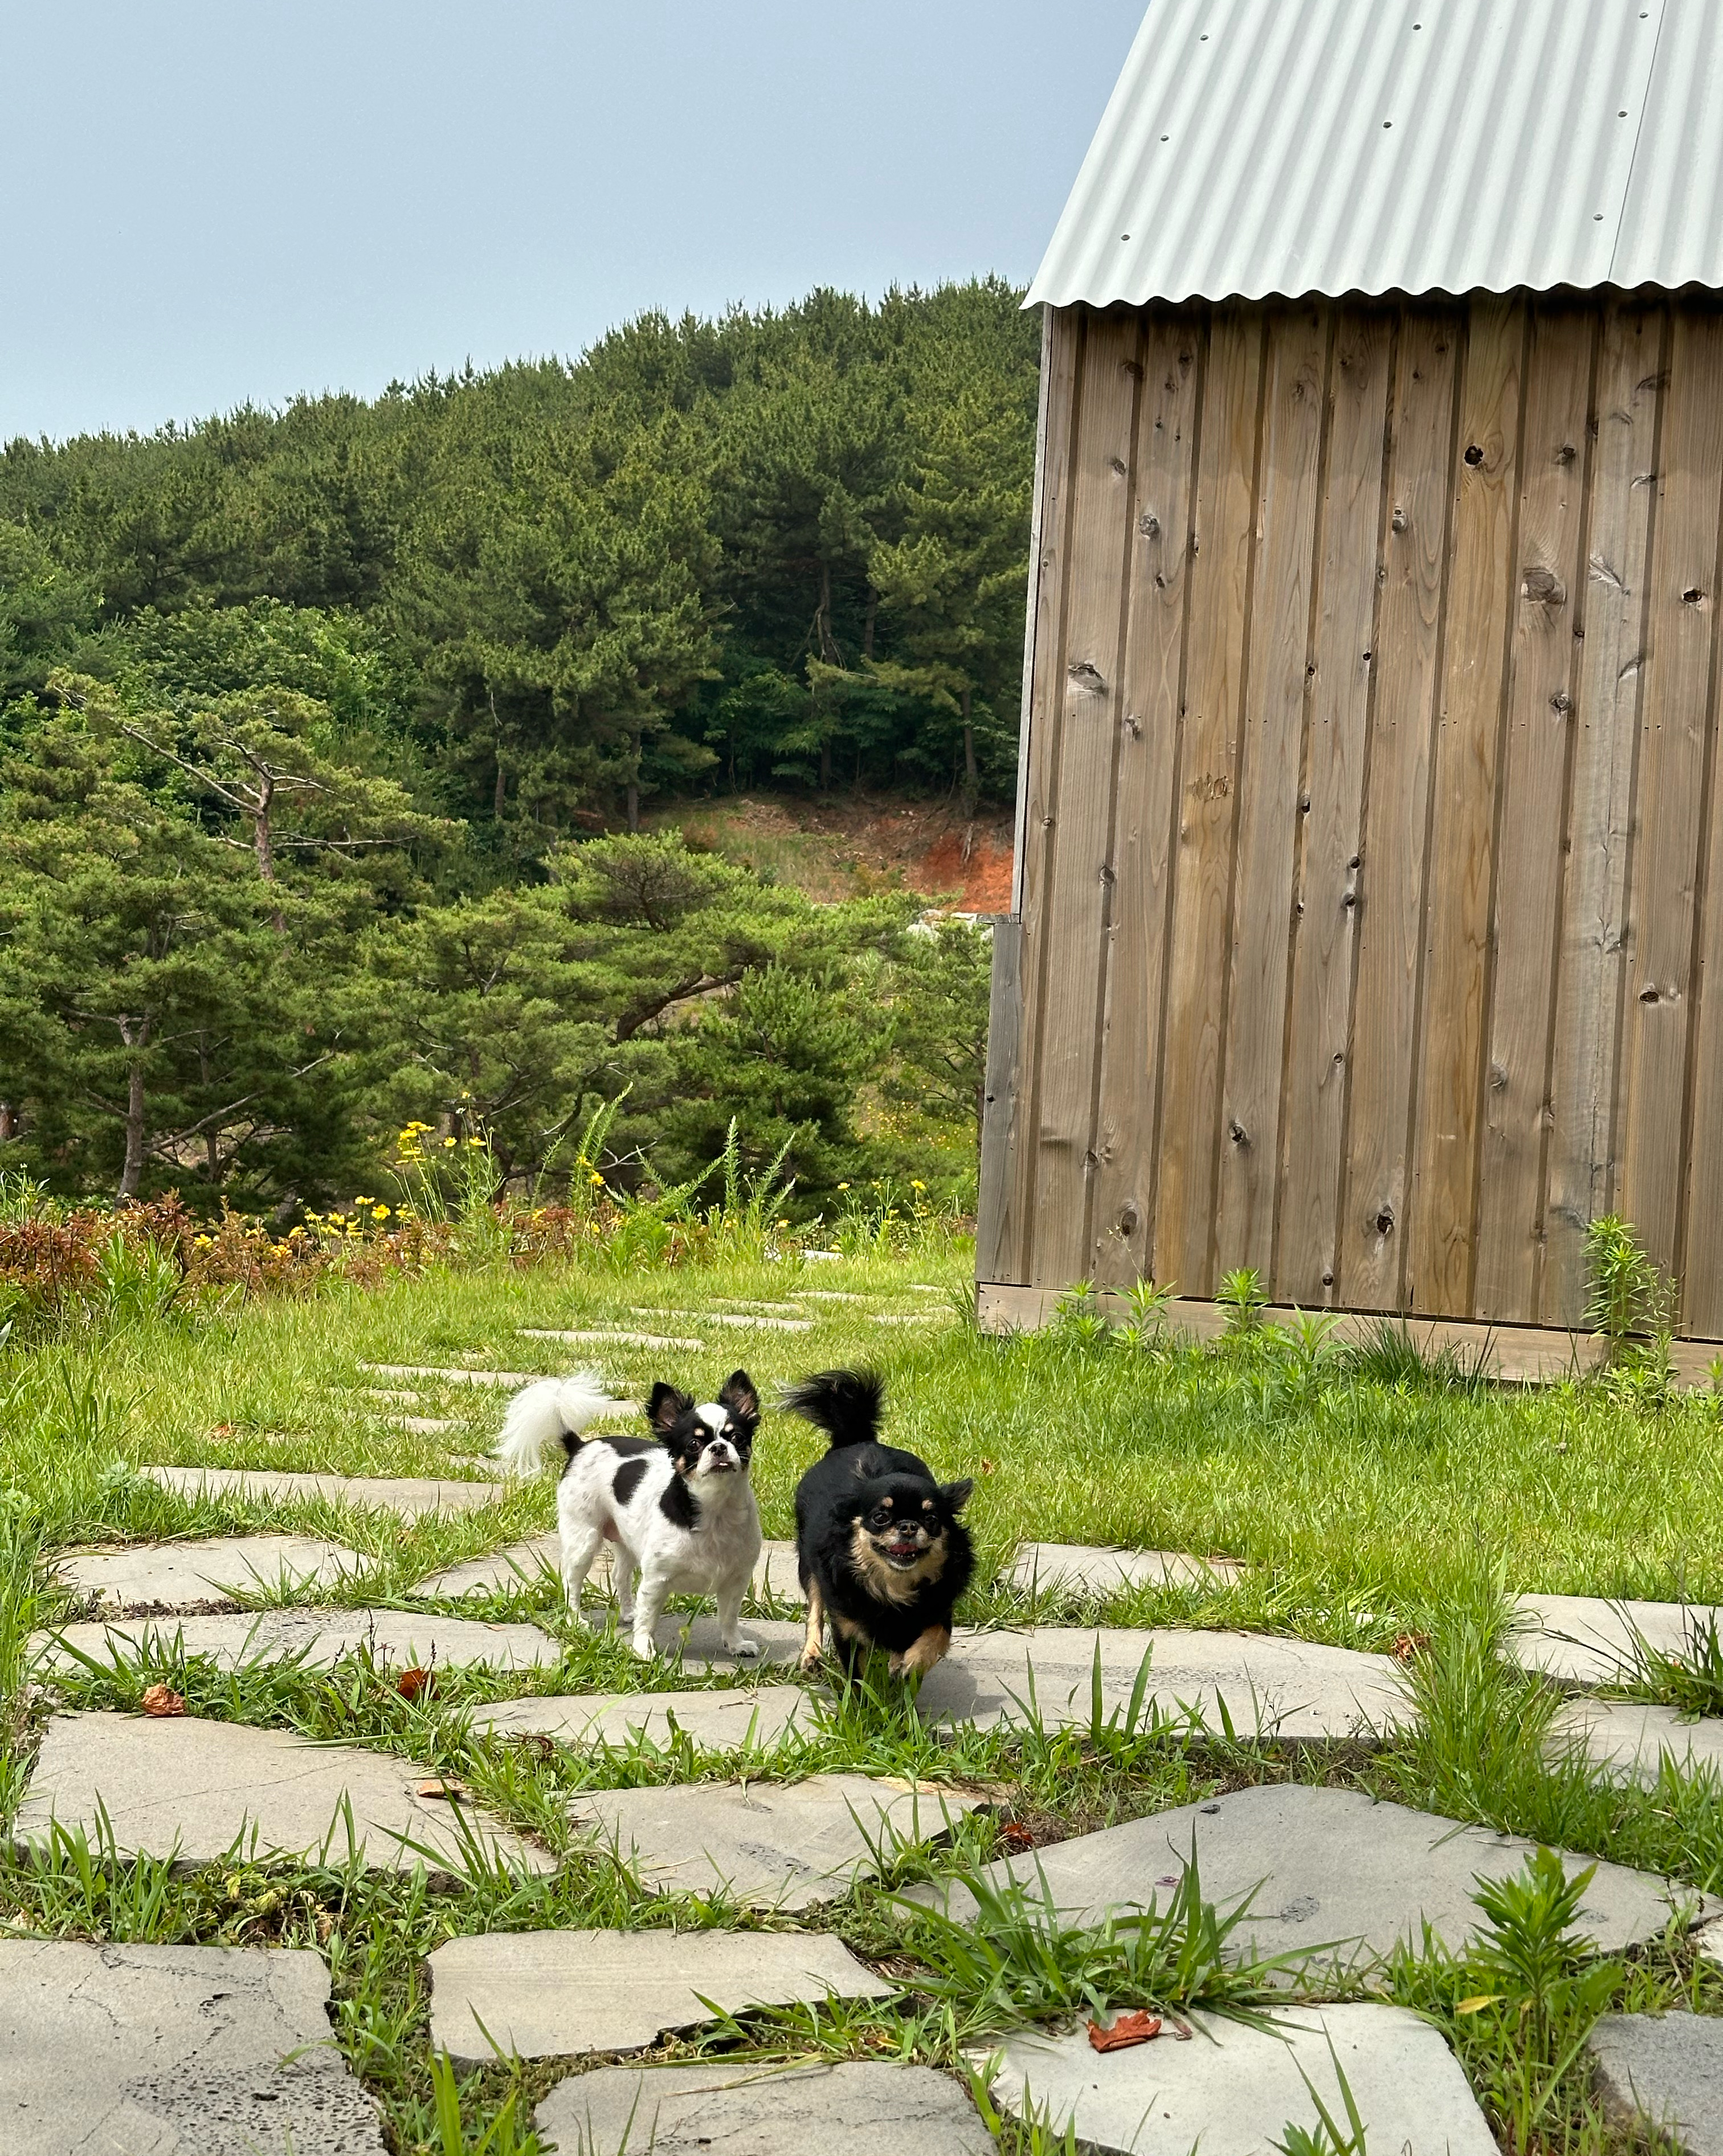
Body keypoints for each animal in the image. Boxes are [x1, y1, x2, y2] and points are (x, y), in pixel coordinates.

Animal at [491, 1371, 763, 1655]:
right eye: (693, 1444)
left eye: (737, 1438)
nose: (719, 1447)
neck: (714, 1508)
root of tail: (580, 1446)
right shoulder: (656, 1580)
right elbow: (649, 1618)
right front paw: (644, 1649)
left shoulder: (736, 1581)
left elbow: (729, 1617)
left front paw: (735, 1644)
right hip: (584, 1541)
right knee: (571, 1583)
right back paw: (575, 1620)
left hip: (627, 1542)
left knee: (619, 1576)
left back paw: (628, 1612)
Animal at [781, 1371, 970, 1673]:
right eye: (880, 1518)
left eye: (931, 1519)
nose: (908, 1526)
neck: (893, 1586)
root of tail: (856, 1440)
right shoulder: (847, 1627)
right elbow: (856, 1675)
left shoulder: (939, 1611)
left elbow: (934, 1638)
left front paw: (911, 1663)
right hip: (809, 1566)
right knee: (815, 1608)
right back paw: (812, 1654)